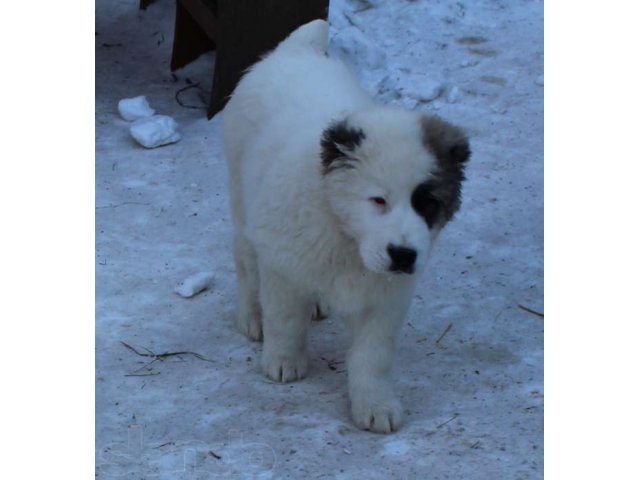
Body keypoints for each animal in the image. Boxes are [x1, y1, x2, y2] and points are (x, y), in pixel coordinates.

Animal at [221, 20, 470, 434]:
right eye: (378, 200)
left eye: (428, 203)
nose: (403, 255)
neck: (344, 233)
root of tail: (296, 50)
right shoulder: (282, 265)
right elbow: (285, 319)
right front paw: (284, 361)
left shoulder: (387, 298)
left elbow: (373, 356)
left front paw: (375, 404)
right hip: (242, 201)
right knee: (245, 262)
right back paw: (250, 315)